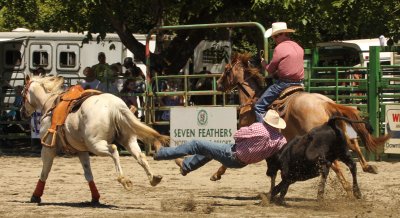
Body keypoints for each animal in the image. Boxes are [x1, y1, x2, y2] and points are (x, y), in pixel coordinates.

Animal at [20, 75, 167, 204]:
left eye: (22, 93)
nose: (22, 111)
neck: (50, 104)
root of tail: (114, 106)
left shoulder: (48, 148)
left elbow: (45, 172)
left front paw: (35, 196)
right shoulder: (82, 151)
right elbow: (88, 174)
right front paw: (95, 197)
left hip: (95, 144)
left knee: (113, 150)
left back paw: (124, 180)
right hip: (128, 140)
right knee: (140, 156)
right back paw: (153, 178)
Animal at [212, 52, 390, 194]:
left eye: (227, 69)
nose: (219, 84)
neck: (252, 100)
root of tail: (325, 103)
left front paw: (216, 174)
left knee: (337, 164)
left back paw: (346, 188)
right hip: (338, 134)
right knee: (353, 145)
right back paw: (367, 169)